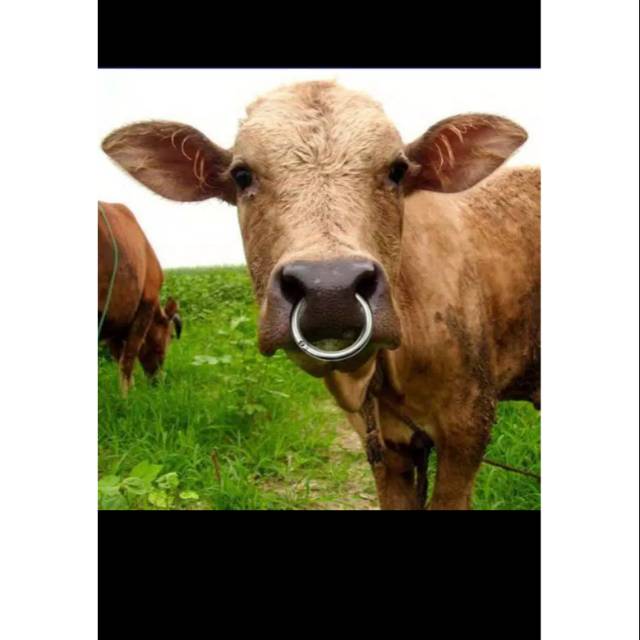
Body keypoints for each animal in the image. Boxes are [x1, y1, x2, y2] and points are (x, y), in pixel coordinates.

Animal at [98, 201, 182, 394]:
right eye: (170, 335)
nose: (158, 381)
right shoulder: (144, 308)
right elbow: (128, 359)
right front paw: (127, 395)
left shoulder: (114, 321)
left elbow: (119, 358)